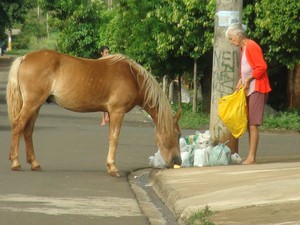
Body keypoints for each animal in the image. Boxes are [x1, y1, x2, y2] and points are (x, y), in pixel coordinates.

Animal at [5, 50, 182, 177]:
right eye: (178, 134)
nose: (177, 162)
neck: (133, 77)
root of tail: (24, 58)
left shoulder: (111, 113)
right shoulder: (117, 111)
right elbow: (114, 138)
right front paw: (112, 167)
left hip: (36, 105)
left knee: (28, 130)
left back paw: (34, 163)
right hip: (32, 103)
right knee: (18, 125)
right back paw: (15, 163)